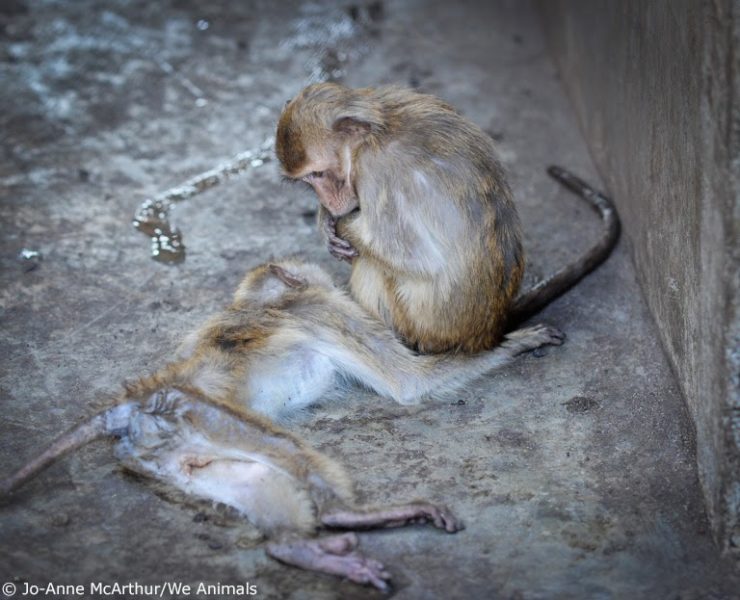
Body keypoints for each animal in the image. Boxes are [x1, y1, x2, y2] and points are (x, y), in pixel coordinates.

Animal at [1, 384, 456, 592]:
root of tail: (133, 412)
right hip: (199, 419)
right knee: (293, 459)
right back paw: (349, 522)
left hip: (174, 464)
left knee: (264, 498)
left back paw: (312, 549)